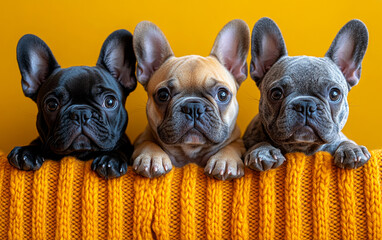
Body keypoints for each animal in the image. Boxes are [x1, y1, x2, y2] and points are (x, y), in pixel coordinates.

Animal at [7, 29, 137, 178]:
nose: (81, 114)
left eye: (109, 102)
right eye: (52, 105)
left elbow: (121, 148)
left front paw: (111, 159)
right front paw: (27, 151)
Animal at [132, 19, 251, 179]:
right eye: (163, 95)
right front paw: (151, 157)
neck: (190, 150)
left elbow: (232, 146)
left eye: (222, 94)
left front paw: (226, 160)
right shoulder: (141, 139)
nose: (193, 107)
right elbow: (147, 143)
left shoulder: (238, 140)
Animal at [243, 17, 372, 171]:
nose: (305, 105)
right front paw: (262, 151)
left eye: (334, 94)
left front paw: (352, 149)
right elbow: (258, 143)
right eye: (276, 94)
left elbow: (344, 141)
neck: (302, 147)